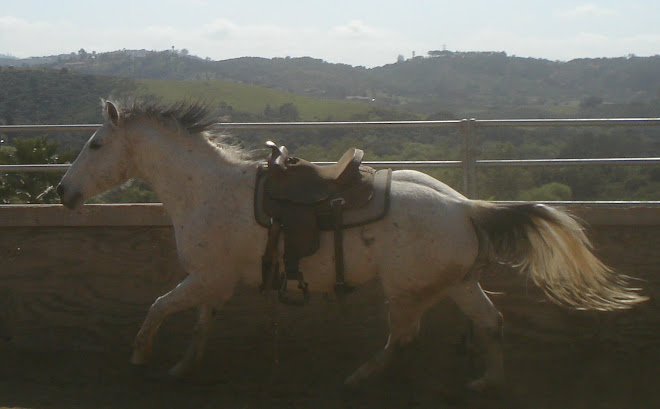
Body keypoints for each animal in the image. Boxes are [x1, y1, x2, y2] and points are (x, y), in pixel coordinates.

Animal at [56, 100, 644, 390]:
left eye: (96, 144)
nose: (63, 191)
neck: (205, 189)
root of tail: (464, 207)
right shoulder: (213, 283)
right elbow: (200, 324)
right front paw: (183, 368)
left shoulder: (205, 278)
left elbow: (159, 307)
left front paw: (141, 355)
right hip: (457, 284)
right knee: (489, 322)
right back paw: (487, 383)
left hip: (405, 292)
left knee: (404, 337)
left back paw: (359, 378)